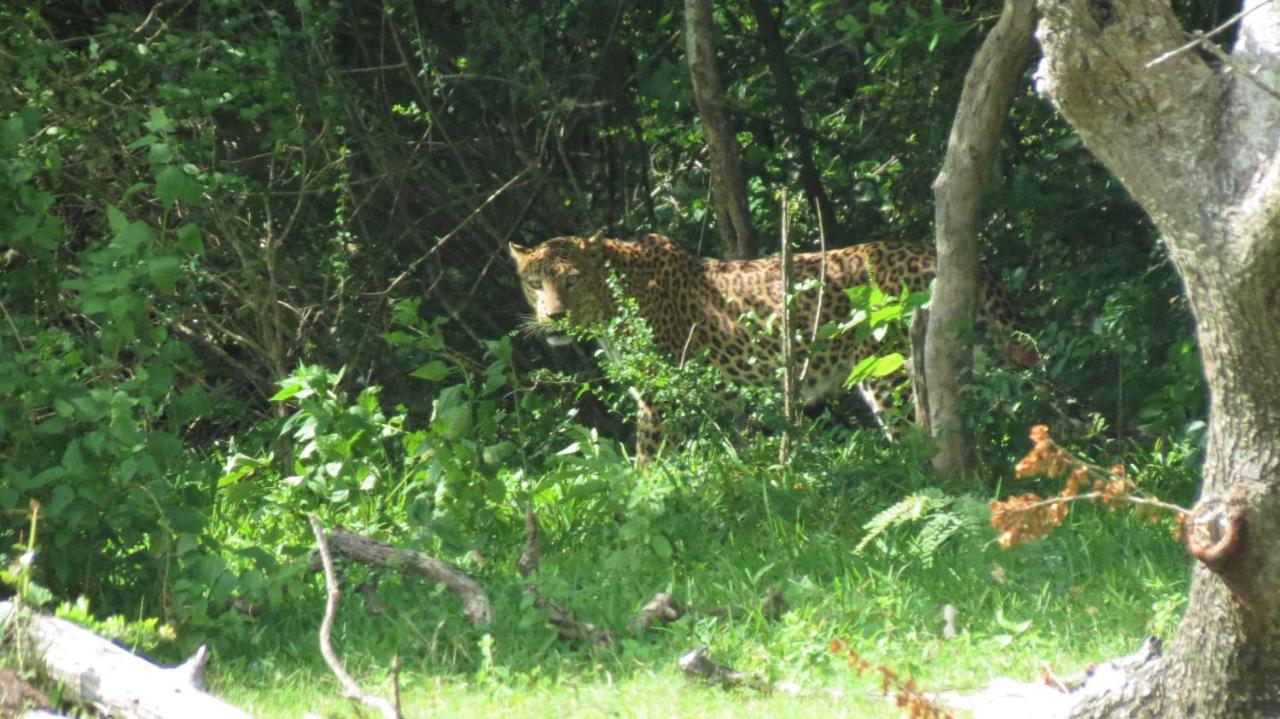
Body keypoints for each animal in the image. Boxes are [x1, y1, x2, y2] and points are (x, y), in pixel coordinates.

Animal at [504, 232, 1034, 460]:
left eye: (571, 281)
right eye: (534, 283)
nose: (552, 316)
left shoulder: (660, 400)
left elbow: (648, 462)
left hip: (892, 374)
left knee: (921, 433)